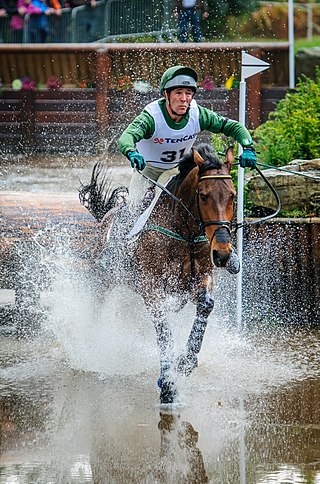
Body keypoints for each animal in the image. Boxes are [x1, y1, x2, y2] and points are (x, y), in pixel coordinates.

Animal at [79, 145, 235, 404]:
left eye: (232, 195)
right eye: (203, 196)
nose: (222, 253)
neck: (184, 233)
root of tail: (106, 216)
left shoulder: (199, 278)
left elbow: (205, 305)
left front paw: (186, 362)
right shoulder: (151, 289)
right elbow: (164, 333)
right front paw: (168, 384)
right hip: (102, 282)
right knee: (94, 312)